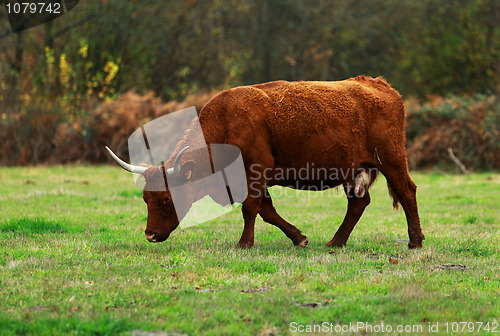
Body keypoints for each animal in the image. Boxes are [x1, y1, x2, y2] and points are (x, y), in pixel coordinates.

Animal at [107, 77, 424, 249]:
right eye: (145, 198)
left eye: (164, 199)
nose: (149, 234)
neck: (227, 122)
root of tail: (378, 84)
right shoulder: (251, 180)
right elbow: (267, 211)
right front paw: (298, 238)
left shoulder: (254, 172)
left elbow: (251, 209)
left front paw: (244, 243)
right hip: (354, 169)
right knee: (358, 203)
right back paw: (336, 242)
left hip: (392, 159)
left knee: (407, 192)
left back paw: (415, 241)